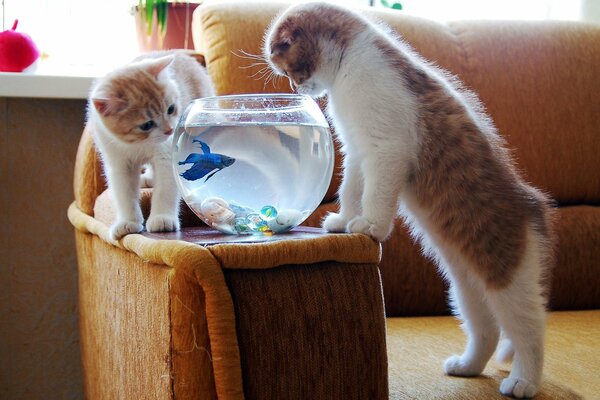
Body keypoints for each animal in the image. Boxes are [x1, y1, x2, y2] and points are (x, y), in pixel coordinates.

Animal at [86, 49, 213, 238]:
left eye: (171, 109)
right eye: (146, 125)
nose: (169, 130)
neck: (137, 144)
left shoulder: (166, 155)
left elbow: (165, 189)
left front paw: (162, 218)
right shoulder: (118, 163)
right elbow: (124, 193)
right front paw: (128, 222)